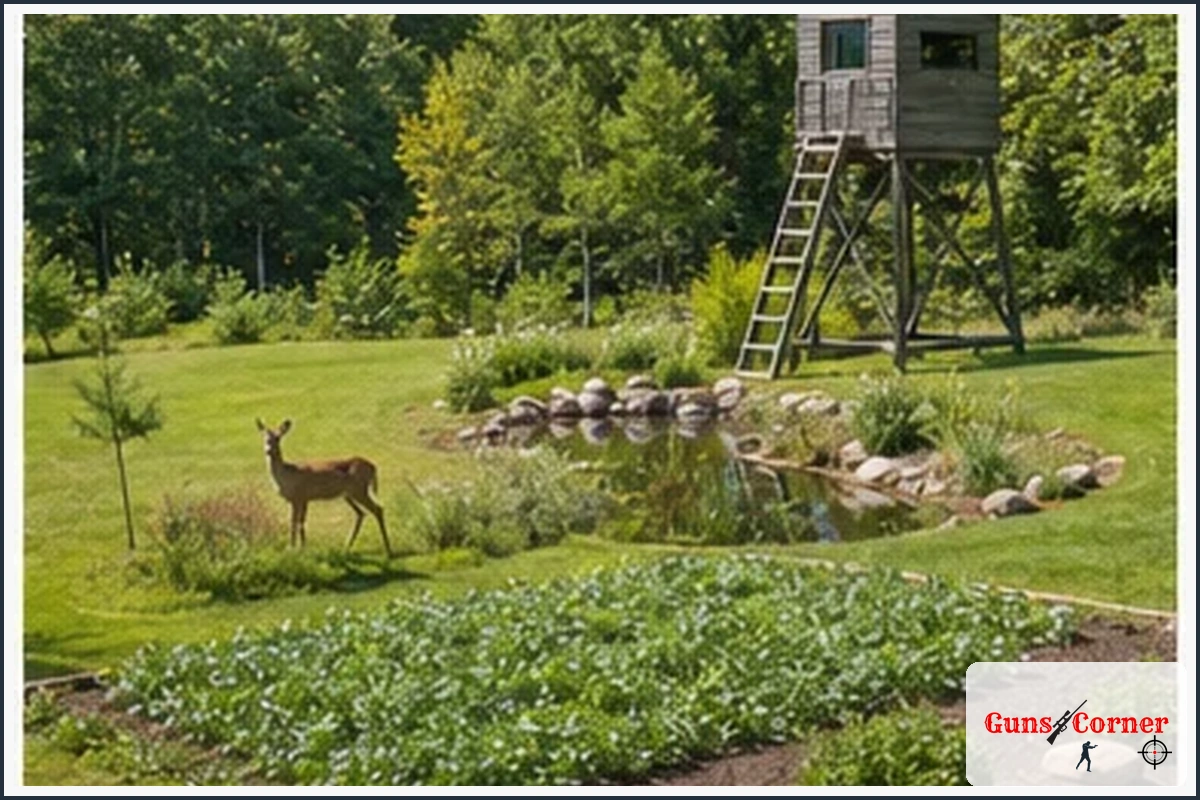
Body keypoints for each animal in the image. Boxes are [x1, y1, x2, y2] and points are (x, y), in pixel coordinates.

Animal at [255, 418, 392, 558]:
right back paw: (347, 546)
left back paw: (388, 550)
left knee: (378, 509)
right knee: (361, 513)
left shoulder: (297, 497)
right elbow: (301, 522)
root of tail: (373, 467)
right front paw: (303, 547)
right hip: (348, 494)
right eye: (264, 437)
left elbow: (293, 521)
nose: (268, 450)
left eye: (278, 438)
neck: (287, 475)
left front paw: (291, 548)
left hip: (359, 489)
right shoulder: (304, 499)